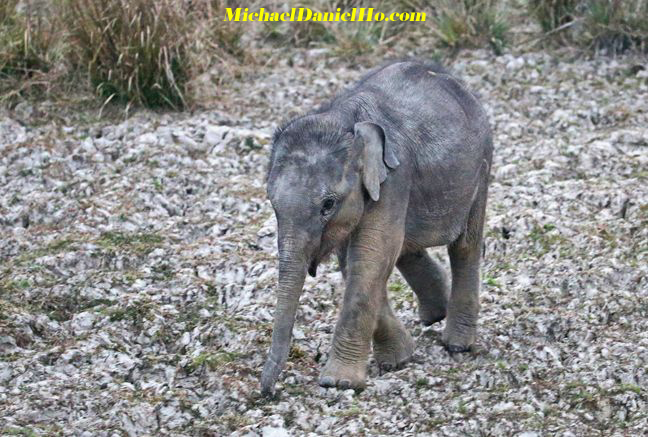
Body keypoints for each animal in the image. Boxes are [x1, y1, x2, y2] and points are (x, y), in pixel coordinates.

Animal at [260, 58, 494, 396]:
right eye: (272, 204)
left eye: (327, 204)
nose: (266, 392)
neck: (343, 118)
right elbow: (358, 262)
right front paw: (399, 360)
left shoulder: (394, 177)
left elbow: (369, 258)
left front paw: (338, 382)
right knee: (406, 246)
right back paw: (436, 313)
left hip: (482, 164)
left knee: (465, 244)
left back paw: (457, 344)